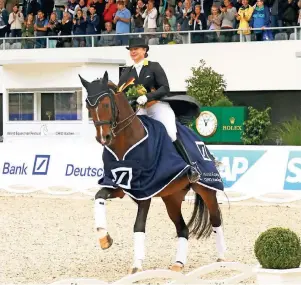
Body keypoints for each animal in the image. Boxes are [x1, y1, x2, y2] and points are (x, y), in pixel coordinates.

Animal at [78, 70, 226, 272]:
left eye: (107, 103)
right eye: (88, 105)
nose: (104, 138)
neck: (126, 142)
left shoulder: (145, 191)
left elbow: (138, 226)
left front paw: (136, 265)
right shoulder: (119, 184)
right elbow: (99, 196)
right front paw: (104, 238)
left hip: (207, 188)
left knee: (216, 219)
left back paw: (222, 259)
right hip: (171, 197)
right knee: (183, 229)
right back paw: (178, 264)